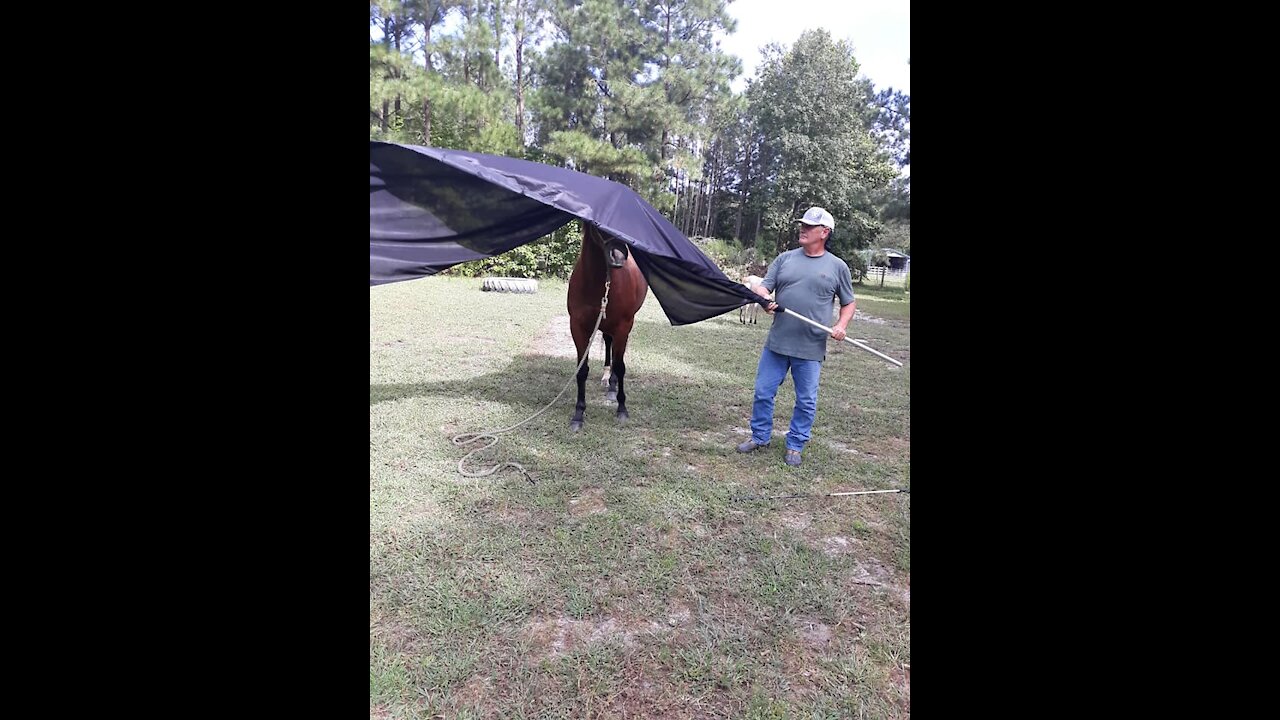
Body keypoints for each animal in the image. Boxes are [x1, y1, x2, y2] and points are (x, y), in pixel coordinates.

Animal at [570, 221, 650, 427]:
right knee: (608, 342)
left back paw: (613, 386)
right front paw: (578, 413)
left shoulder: (623, 326)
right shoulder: (578, 327)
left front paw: (622, 409)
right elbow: (582, 370)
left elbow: (621, 367)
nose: (619, 257)